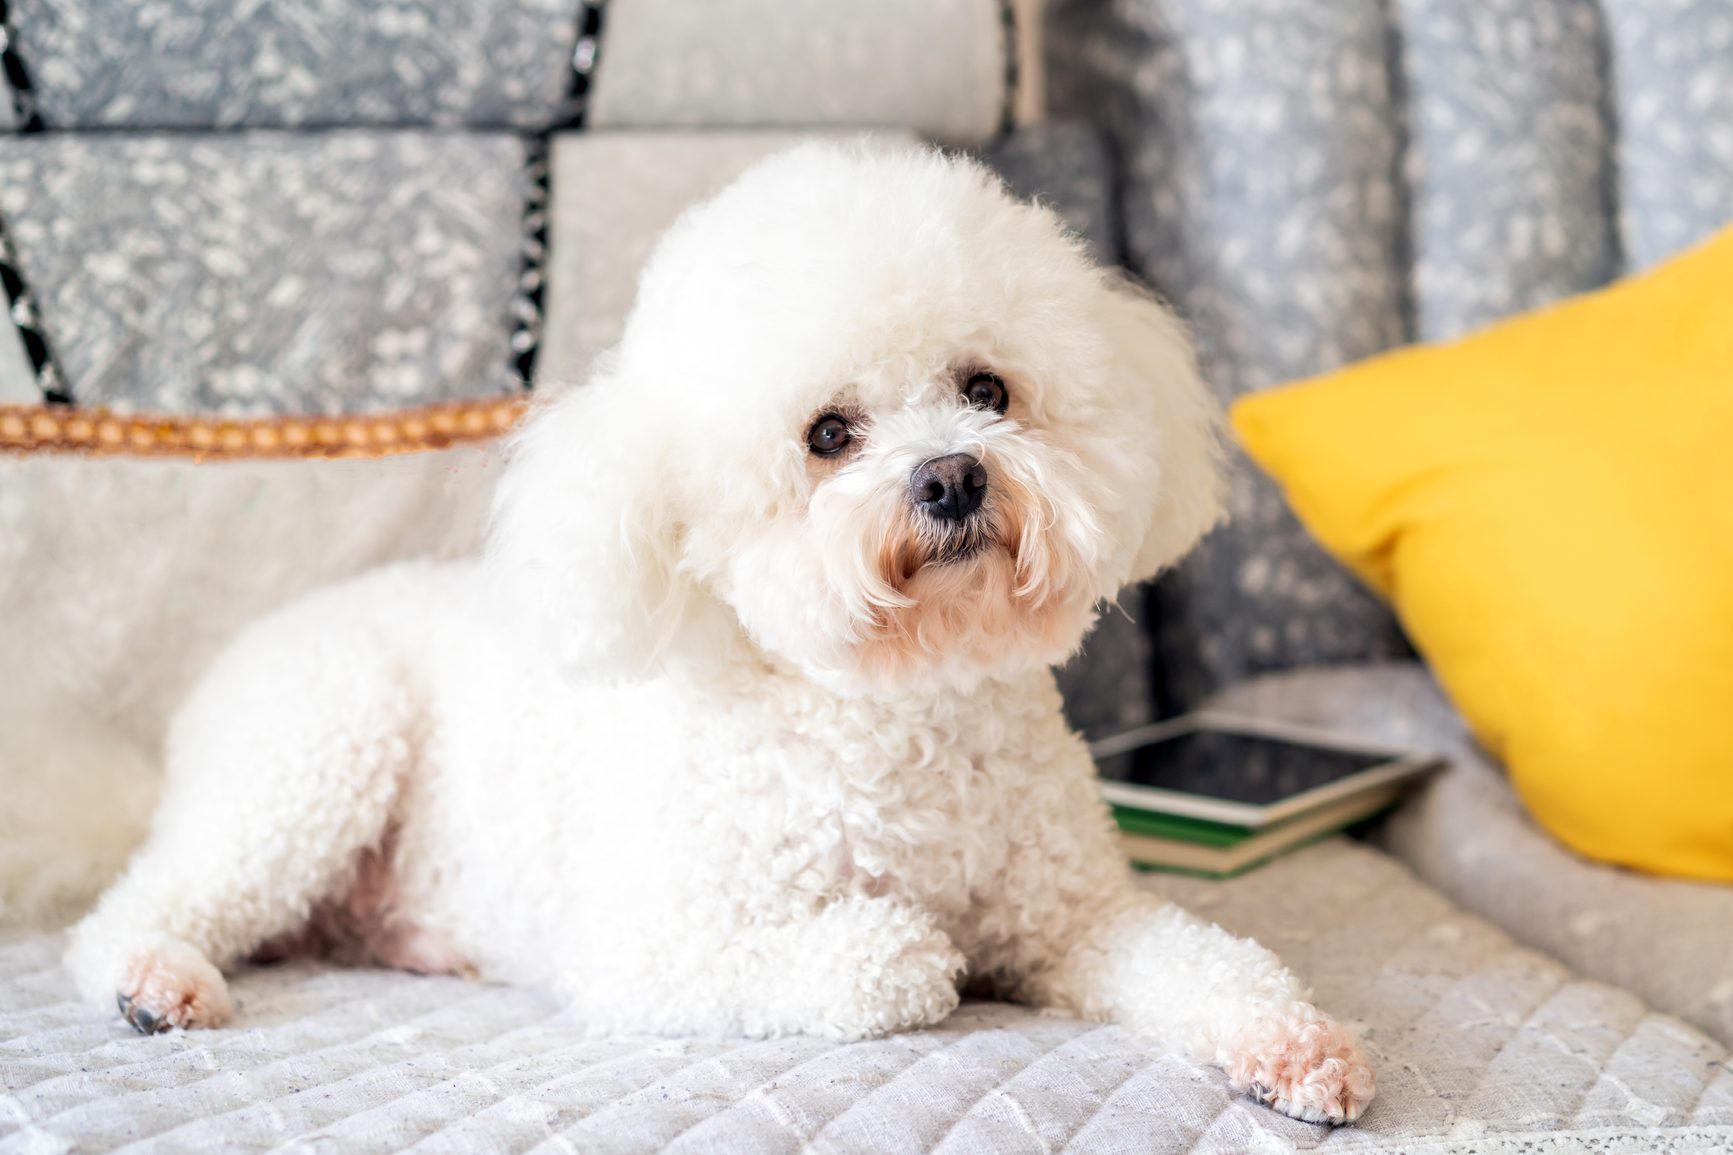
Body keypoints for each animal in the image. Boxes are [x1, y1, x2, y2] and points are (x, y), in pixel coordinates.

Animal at [71, 139, 1379, 1116]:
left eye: (986, 390)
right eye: (828, 435)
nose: (953, 477)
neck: (893, 714)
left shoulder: (1078, 919)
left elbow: (1202, 958)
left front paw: (1294, 1043)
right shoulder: (651, 950)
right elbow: (900, 956)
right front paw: (923, 950)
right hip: (319, 751)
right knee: (148, 898)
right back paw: (152, 976)